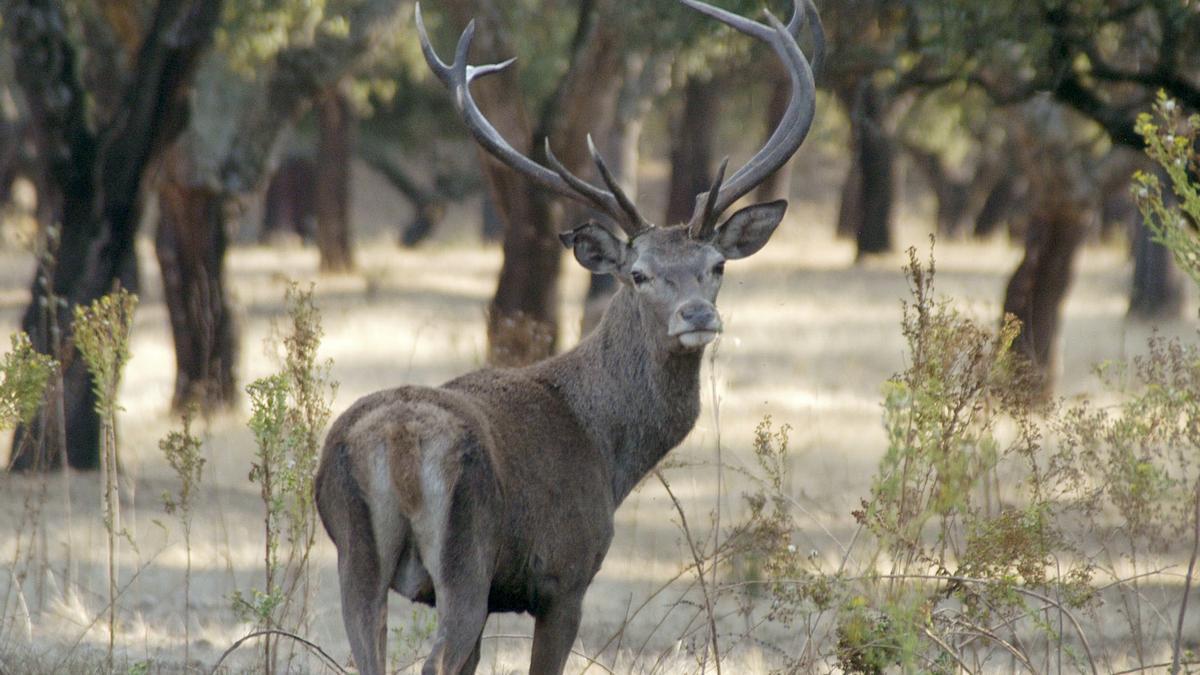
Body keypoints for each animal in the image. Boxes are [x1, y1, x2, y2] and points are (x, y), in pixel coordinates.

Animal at [314, 2, 825, 667]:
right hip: (465, 555)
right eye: (639, 274)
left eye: (716, 265)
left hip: (355, 557)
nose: (696, 316)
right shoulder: (565, 576)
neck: (608, 451)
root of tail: (395, 442)